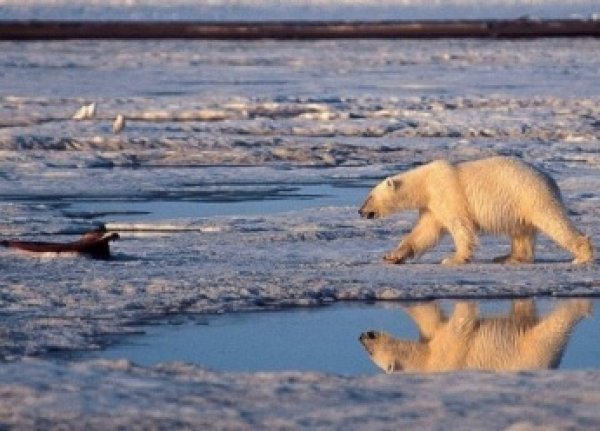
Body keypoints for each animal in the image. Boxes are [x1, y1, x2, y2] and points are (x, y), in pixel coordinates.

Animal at [358, 157, 592, 264]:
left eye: (369, 196)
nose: (360, 211)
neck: (425, 183)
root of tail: (550, 179)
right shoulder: (432, 206)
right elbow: (424, 232)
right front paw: (392, 255)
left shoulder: (447, 195)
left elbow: (460, 227)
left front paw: (453, 259)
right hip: (519, 204)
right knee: (521, 232)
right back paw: (508, 257)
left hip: (530, 195)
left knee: (553, 221)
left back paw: (582, 255)